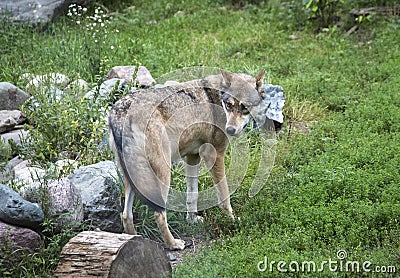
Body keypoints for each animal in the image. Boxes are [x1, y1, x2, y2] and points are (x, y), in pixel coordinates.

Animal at [110, 69, 272, 250]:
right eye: (229, 105)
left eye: (244, 107)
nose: (230, 129)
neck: (216, 98)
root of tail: (120, 112)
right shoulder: (214, 155)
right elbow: (224, 196)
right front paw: (232, 220)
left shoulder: (192, 157)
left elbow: (192, 195)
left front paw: (192, 220)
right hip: (163, 174)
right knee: (159, 214)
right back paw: (173, 243)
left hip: (132, 178)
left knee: (126, 215)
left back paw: (134, 242)